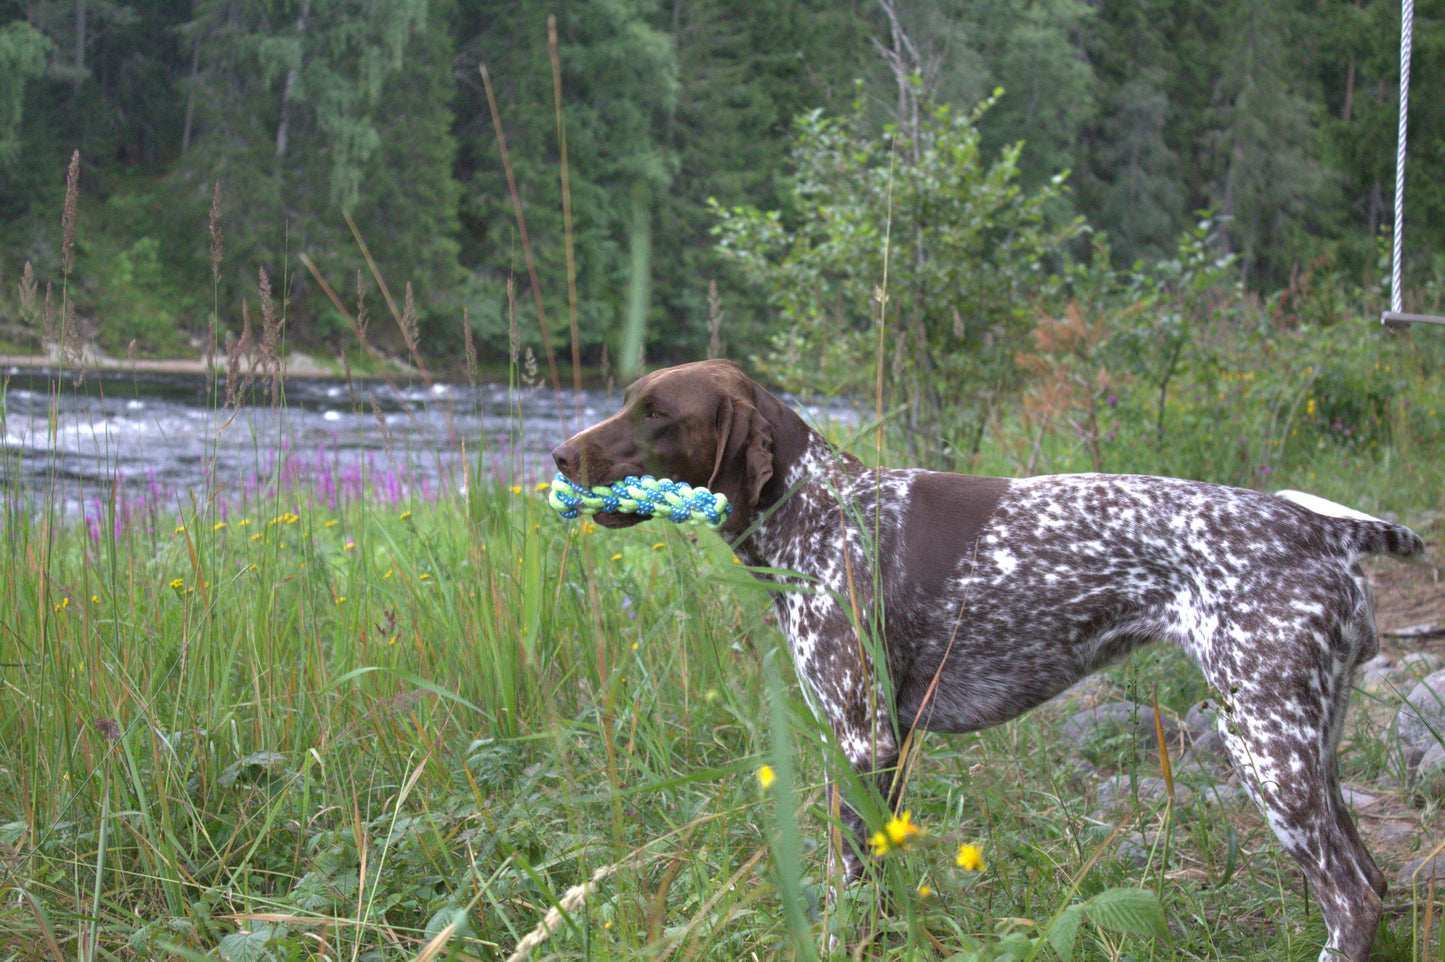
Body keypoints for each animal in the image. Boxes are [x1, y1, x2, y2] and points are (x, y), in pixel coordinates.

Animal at [549, 355, 1421, 953]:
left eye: (657, 414)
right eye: (626, 401)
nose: (558, 456)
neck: (817, 511)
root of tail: (1324, 531)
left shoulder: (861, 740)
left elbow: (844, 885)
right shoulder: (891, 747)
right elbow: (881, 883)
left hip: (1266, 749)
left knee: (1352, 898)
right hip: (1308, 743)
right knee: (1372, 878)